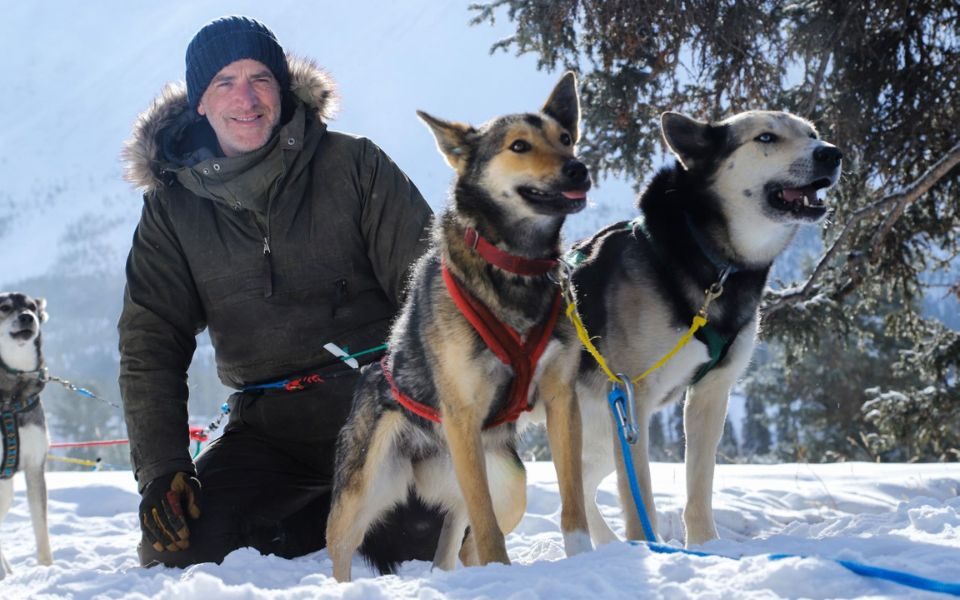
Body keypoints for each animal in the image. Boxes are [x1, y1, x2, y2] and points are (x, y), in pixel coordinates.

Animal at [326, 71, 596, 580]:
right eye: (519, 146)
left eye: (566, 139)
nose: (578, 168)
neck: (516, 267)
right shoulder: (464, 413)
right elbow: (485, 527)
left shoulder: (561, 399)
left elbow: (572, 501)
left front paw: (583, 559)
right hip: (367, 487)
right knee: (342, 546)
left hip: (506, 481)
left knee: (459, 540)